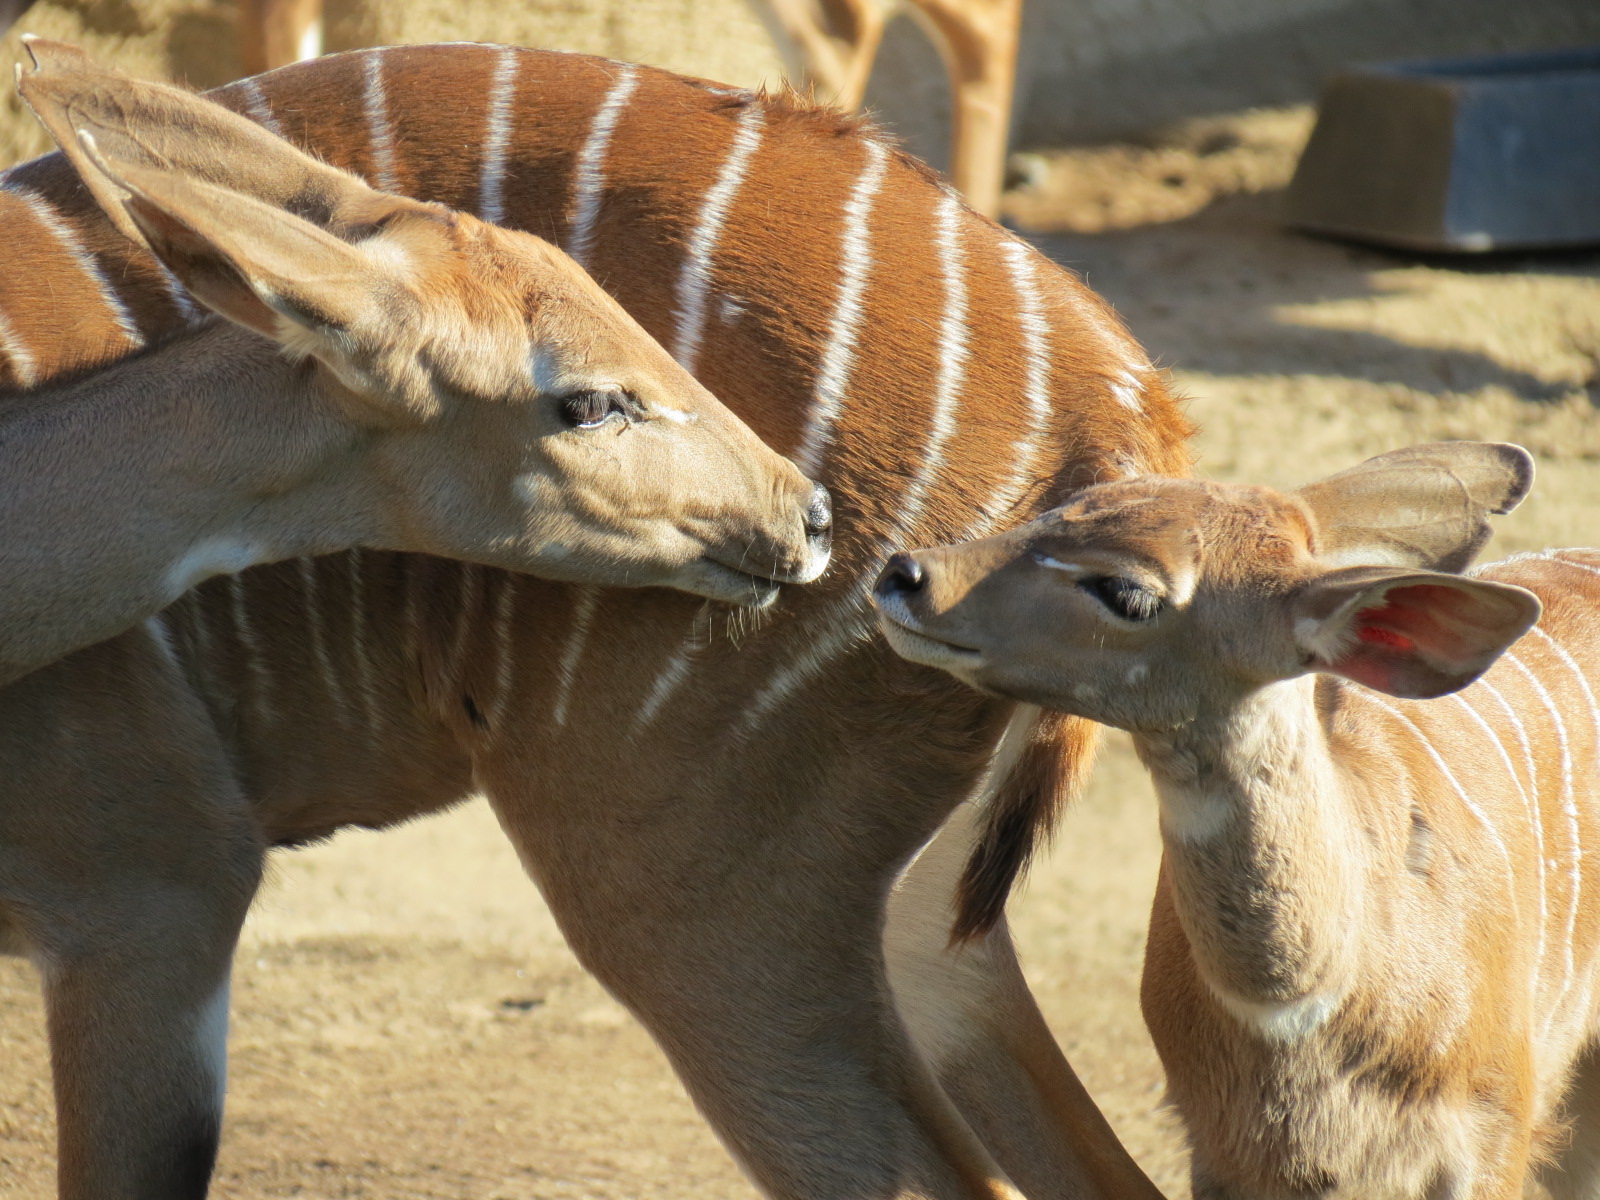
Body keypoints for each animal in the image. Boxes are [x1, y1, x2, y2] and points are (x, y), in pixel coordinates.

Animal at [0, 41, 1190, 1200]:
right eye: (588, 401)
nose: (802, 513)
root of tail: (1116, 389)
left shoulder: (159, 897)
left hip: (700, 908)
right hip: (916, 912)